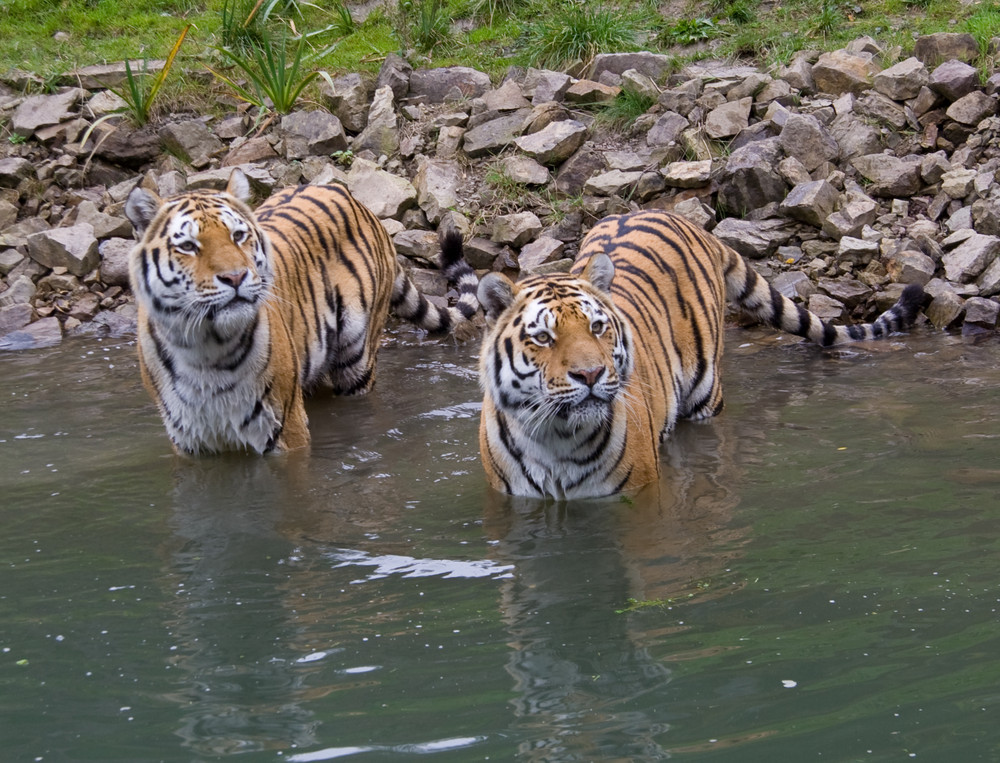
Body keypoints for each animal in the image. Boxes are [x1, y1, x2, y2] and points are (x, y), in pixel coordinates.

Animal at [123, 169, 478, 454]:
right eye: (187, 246)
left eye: (238, 236)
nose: (236, 277)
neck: (206, 348)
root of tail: (357, 202)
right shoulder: (189, 440)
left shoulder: (282, 426)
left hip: (357, 357)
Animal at [476, 207, 920, 502]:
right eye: (544, 338)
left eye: (597, 328)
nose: (591, 375)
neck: (556, 439)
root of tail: (683, 219)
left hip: (705, 393)